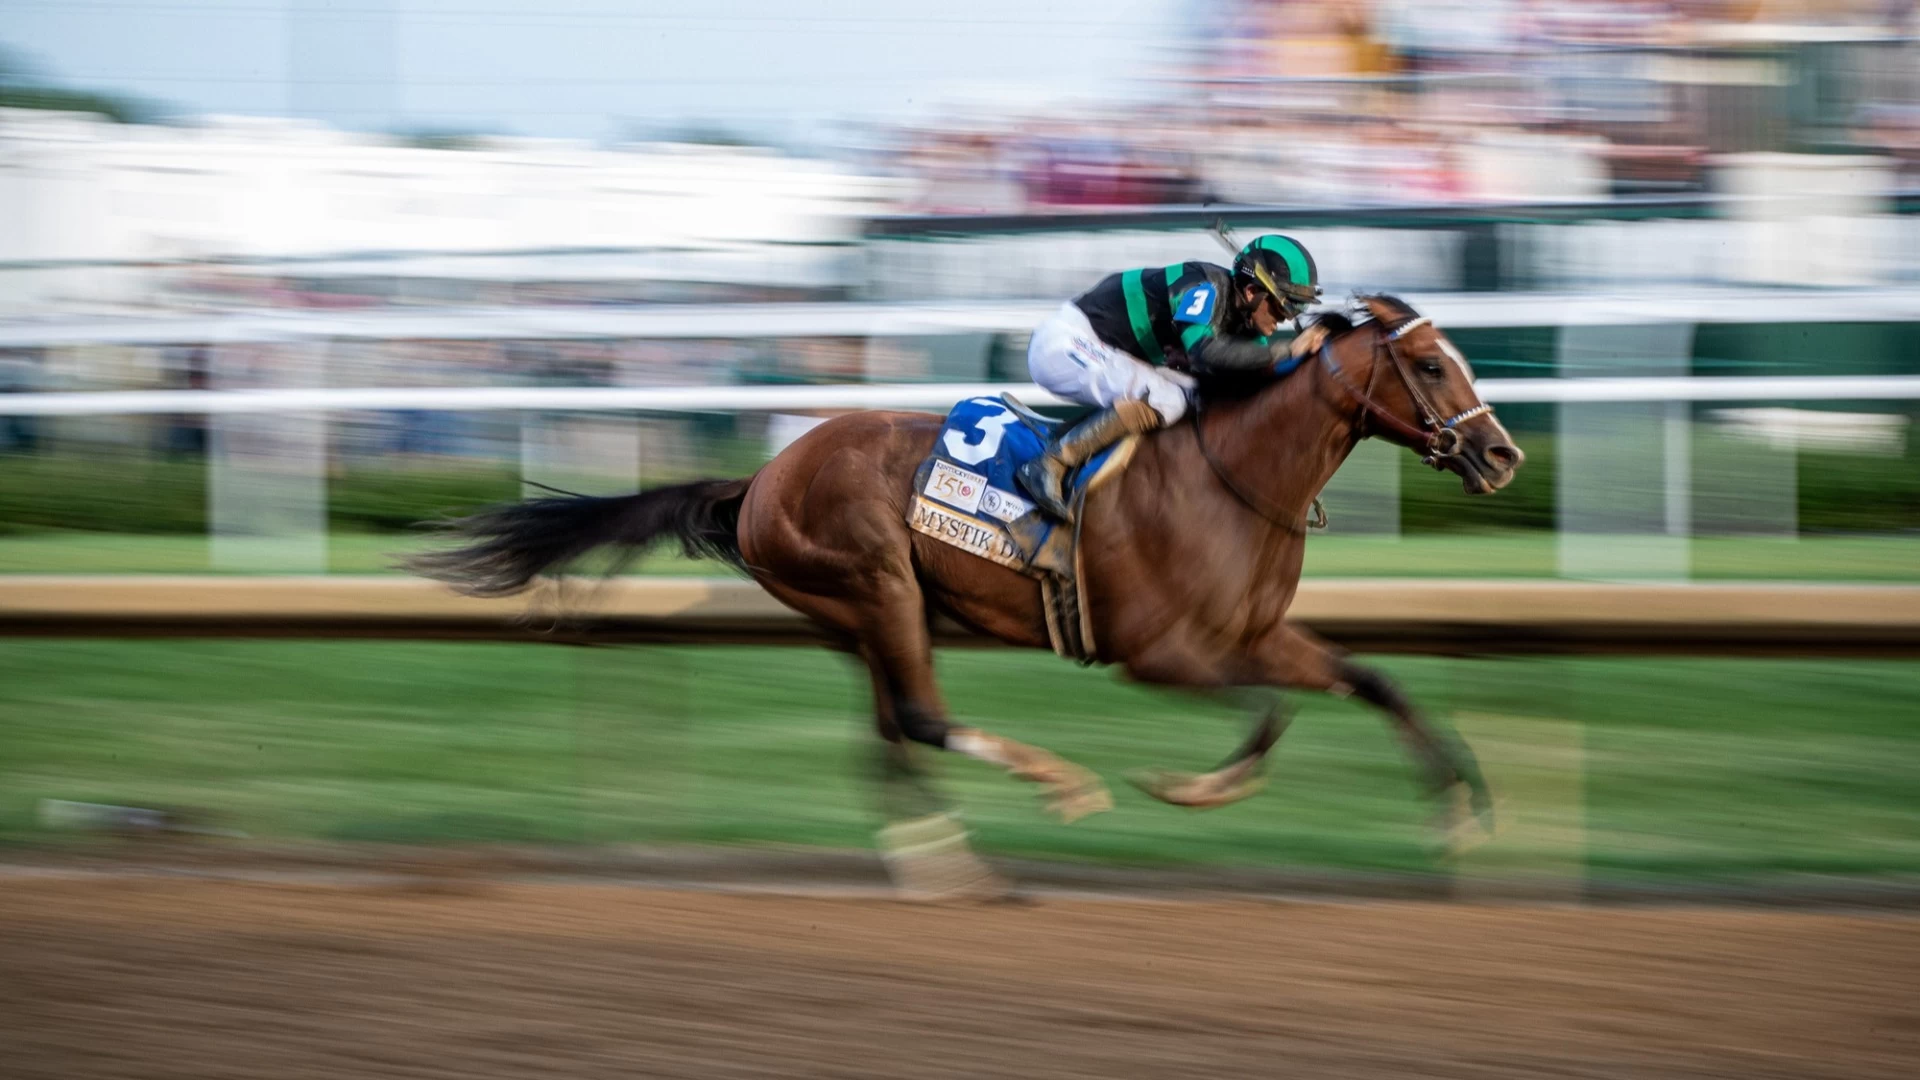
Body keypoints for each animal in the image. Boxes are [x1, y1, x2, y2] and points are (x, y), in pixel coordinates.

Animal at [412, 295, 1523, 845]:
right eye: (1431, 365)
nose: (1502, 454)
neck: (1232, 475)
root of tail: (763, 475)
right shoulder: (1160, 653)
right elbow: (1270, 715)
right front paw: (1194, 789)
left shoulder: (1256, 635)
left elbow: (1369, 680)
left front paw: (1463, 806)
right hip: (874, 584)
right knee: (918, 719)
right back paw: (1056, 789)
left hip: (861, 615)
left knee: (887, 735)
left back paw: (951, 869)